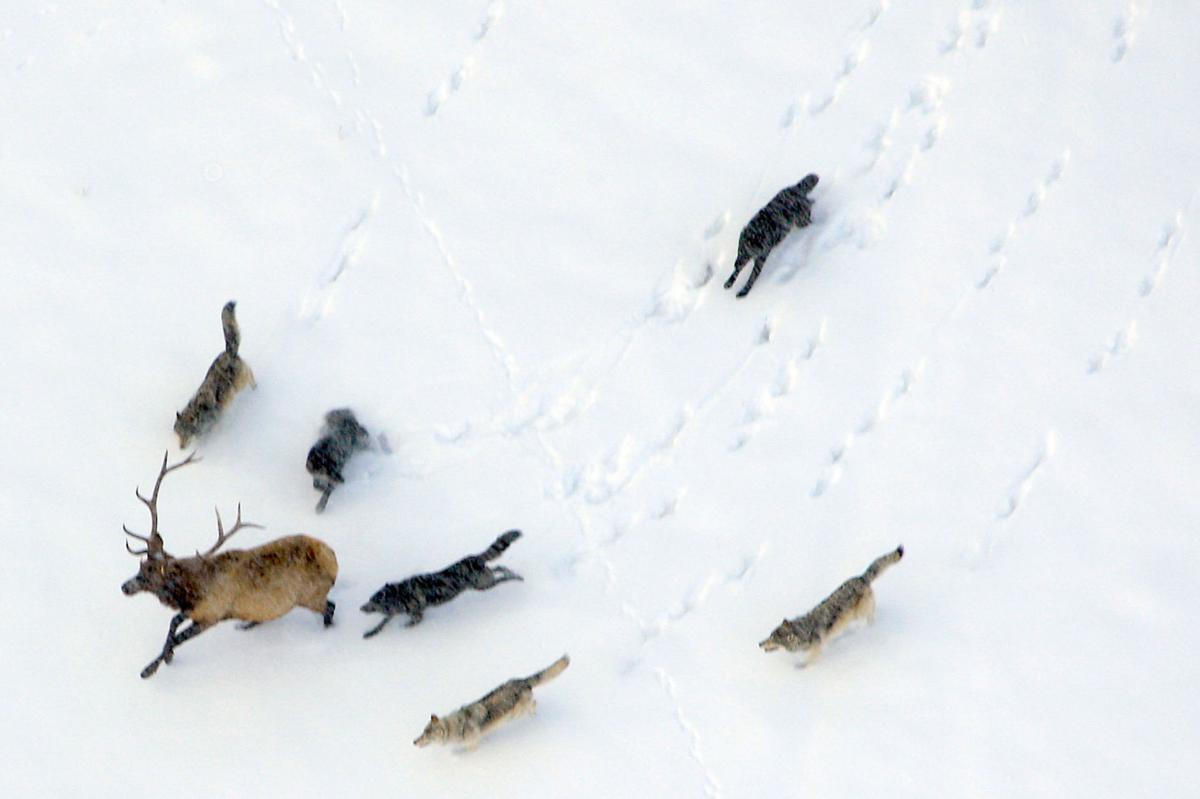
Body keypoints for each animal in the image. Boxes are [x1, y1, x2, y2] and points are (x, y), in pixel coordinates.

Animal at [120, 451, 339, 679]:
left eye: (150, 573)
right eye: (140, 566)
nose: (124, 587)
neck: (191, 590)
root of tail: (333, 559)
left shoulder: (212, 613)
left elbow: (179, 636)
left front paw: (149, 669)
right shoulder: (196, 610)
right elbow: (173, 624)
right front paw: (166, 657)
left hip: (310, 595)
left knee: (330, 607)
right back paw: (247, 625)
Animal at [174, 301, 256, 448]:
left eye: (187, 434)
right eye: (179, 434)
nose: (181, 448)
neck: (200, 414)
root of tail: (228, 352)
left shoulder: (216, 423)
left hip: (241, 383)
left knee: (250, 373)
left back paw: (255, 388)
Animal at [360, 530, 522, 637]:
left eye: (372, 601)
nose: (361, 608)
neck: (398, 595)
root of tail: (476, 557)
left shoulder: (417, 614)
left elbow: (411, 622)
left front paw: (405, 626)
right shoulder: (393, 613)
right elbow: (382, 623)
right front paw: (371, 632)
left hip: (483, 585)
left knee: (501, 577)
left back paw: (515, 577)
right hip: (484, 581)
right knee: (499, 568)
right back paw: (513, 573)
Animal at [414, 654, 570, 749]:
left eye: (426, 734)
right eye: (422, 732)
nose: (414, 741)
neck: (455, 727)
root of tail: (521, 681)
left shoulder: (473, 744)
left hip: (516, 713)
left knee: (534, 704)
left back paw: (534, 716)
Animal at [760, 545, 902, 664]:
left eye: (772, 639)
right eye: (769, 636)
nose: (759, 644)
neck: (804, 631)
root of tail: (861, 577)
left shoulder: (816, 649)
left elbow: (808, 662)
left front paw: (800, 668)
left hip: (860, 613)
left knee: (870, 615)